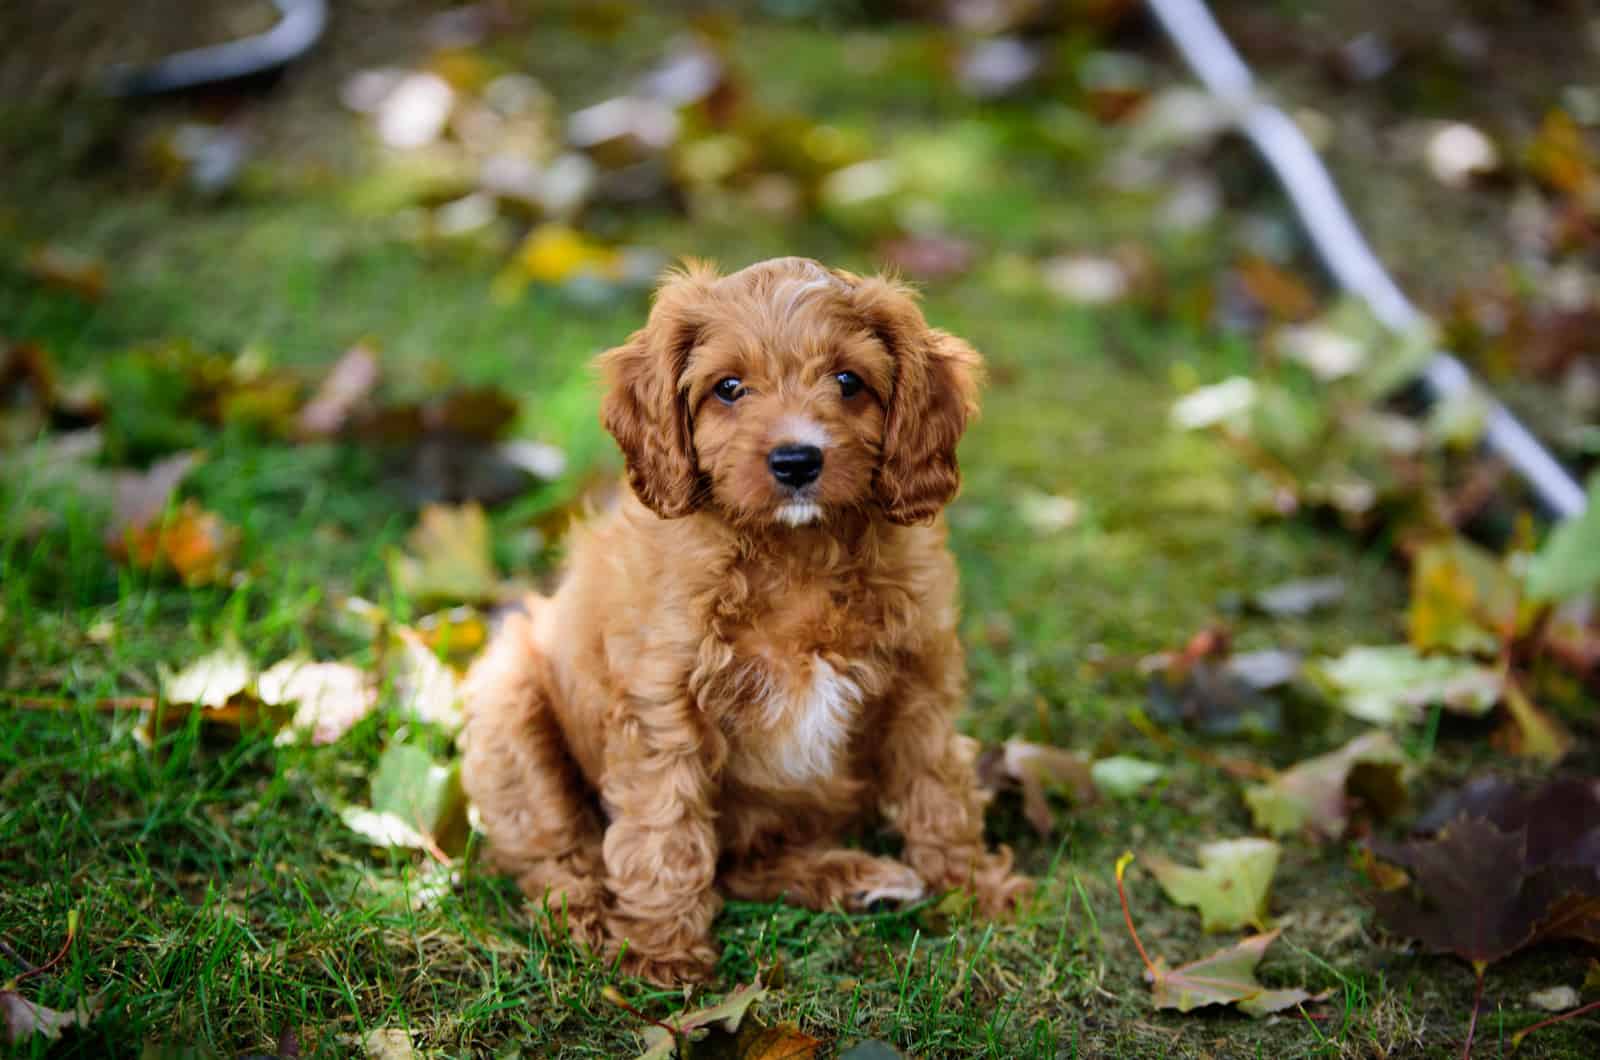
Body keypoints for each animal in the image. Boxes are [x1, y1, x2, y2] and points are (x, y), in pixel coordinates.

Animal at [460, 257, 1024, 986]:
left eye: (849, 381)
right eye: (729, 388)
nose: (796, 460)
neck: (797, 550)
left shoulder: (919, 681)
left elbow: (939, 787)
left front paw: (973, 888)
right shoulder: (663, 702)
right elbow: (663, 825)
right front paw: (661, 951)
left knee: (742, 865)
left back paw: (854, 878)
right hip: (510, 704)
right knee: (551, 847)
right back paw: (586, 913)